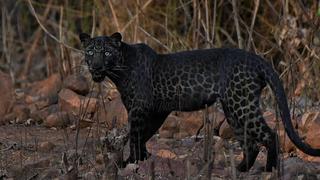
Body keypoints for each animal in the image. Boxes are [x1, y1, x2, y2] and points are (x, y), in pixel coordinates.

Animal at [79, 32, 320, 172]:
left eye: (106, 52)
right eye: (90, 51)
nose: (96, 66)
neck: (118, 71)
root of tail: (258, 59)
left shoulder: (139, 109)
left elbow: (136, 135)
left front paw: (130, 162)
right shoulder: (157, 111)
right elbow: (145, 135)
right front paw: (142, 158)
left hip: (241, 105)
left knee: (270, 134)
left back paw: (269, 169)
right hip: (233, 108)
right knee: (249, 143)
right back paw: (240, 169)